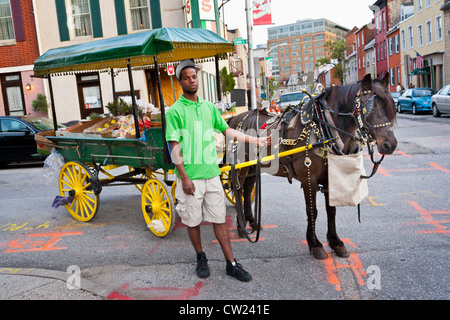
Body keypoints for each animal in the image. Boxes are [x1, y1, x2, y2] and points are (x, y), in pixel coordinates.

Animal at [227, 73, 396, 260]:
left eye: (391, 108)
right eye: (371, 108)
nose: (390, 144)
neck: (323, 129)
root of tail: (234, 119)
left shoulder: (330, 178)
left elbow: (331, 210)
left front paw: (336, 242)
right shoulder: (309, 179)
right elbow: (312, 211)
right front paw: (315, 244)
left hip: (252, 167)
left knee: (248, 189)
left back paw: (253, 222)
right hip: (240, 166)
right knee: (239, 190)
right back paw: (241, 226)